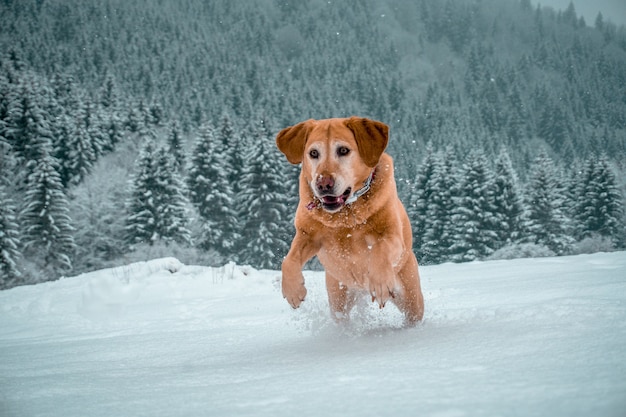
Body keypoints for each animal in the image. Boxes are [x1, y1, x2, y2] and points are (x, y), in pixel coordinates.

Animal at [274, 117, 424, 324]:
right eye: (313, 153)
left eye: (343, 150)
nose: (323, 184)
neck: (344, 217)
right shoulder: (307, 236)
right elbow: (289, 259)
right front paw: (293, 291)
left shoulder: (392, 235)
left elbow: (380, 249)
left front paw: (380, 282)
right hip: (338, 296)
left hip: (412, 296)